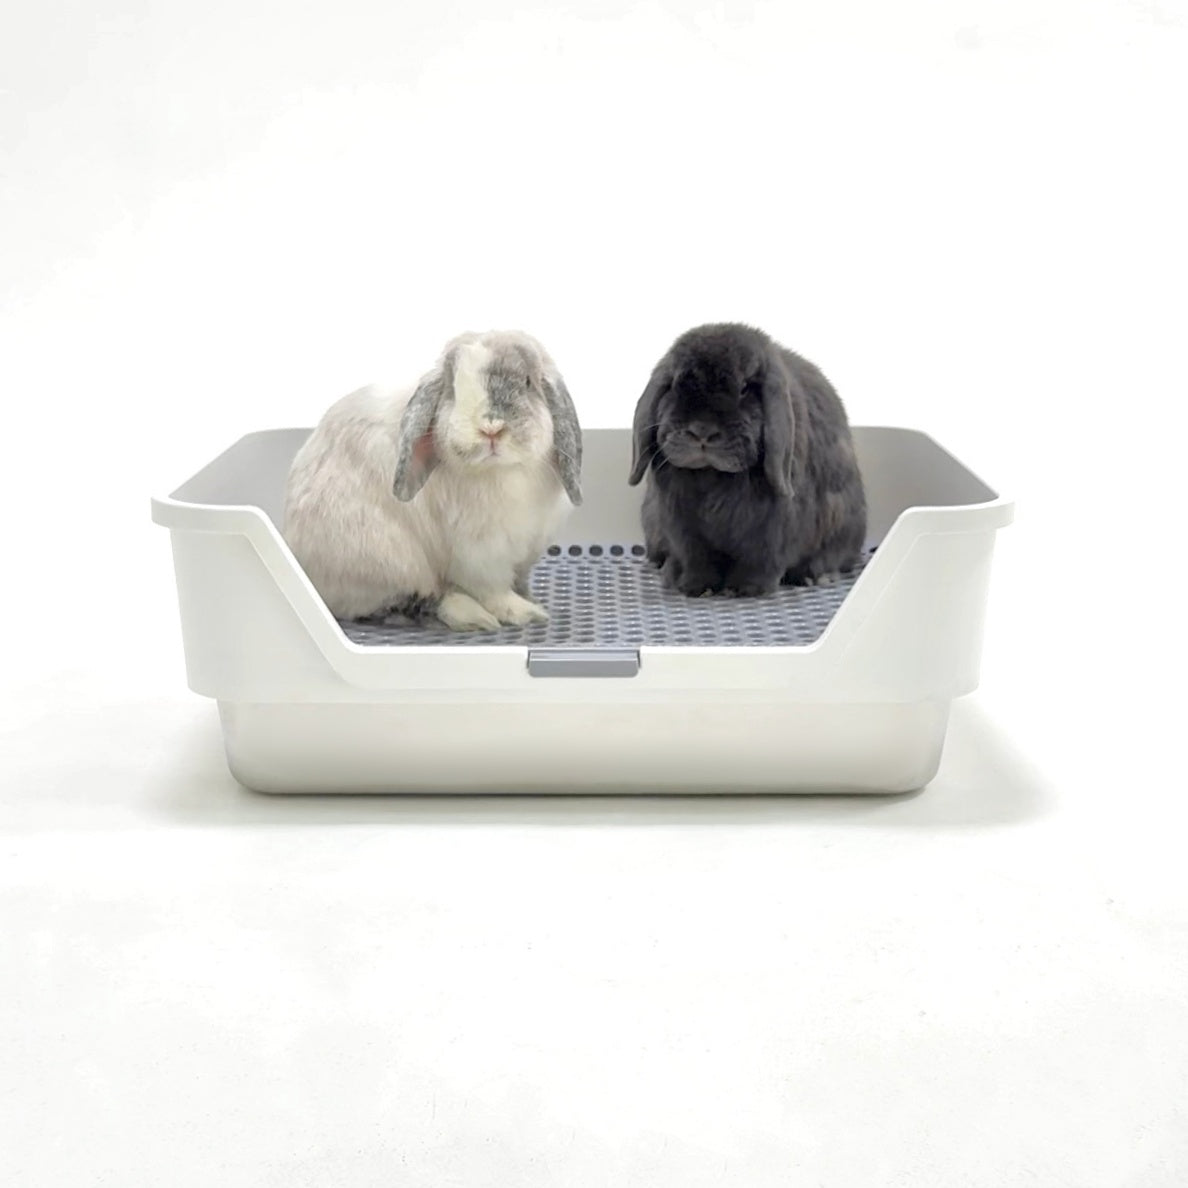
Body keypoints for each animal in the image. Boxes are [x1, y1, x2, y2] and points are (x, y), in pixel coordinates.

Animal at [283, 330, 582, 631]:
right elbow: (494, 591)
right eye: (453, 388)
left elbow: (518, 580)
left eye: (528, 382)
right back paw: (471, 614)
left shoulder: (526, 551)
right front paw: (524, 613)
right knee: (414, 602)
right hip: (387, 564)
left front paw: (531, 599)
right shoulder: (481, 556)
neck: (505, 470)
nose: (490, 429)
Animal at [628, 323, 866, 597]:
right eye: (676, 386)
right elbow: (695, 559)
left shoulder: (772, 530)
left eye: (744, 388)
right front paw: (693, 587)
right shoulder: (683, 530)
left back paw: (814, 576)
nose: (701, 431)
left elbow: (760, 561)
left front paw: (745, 589)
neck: (712, 475)